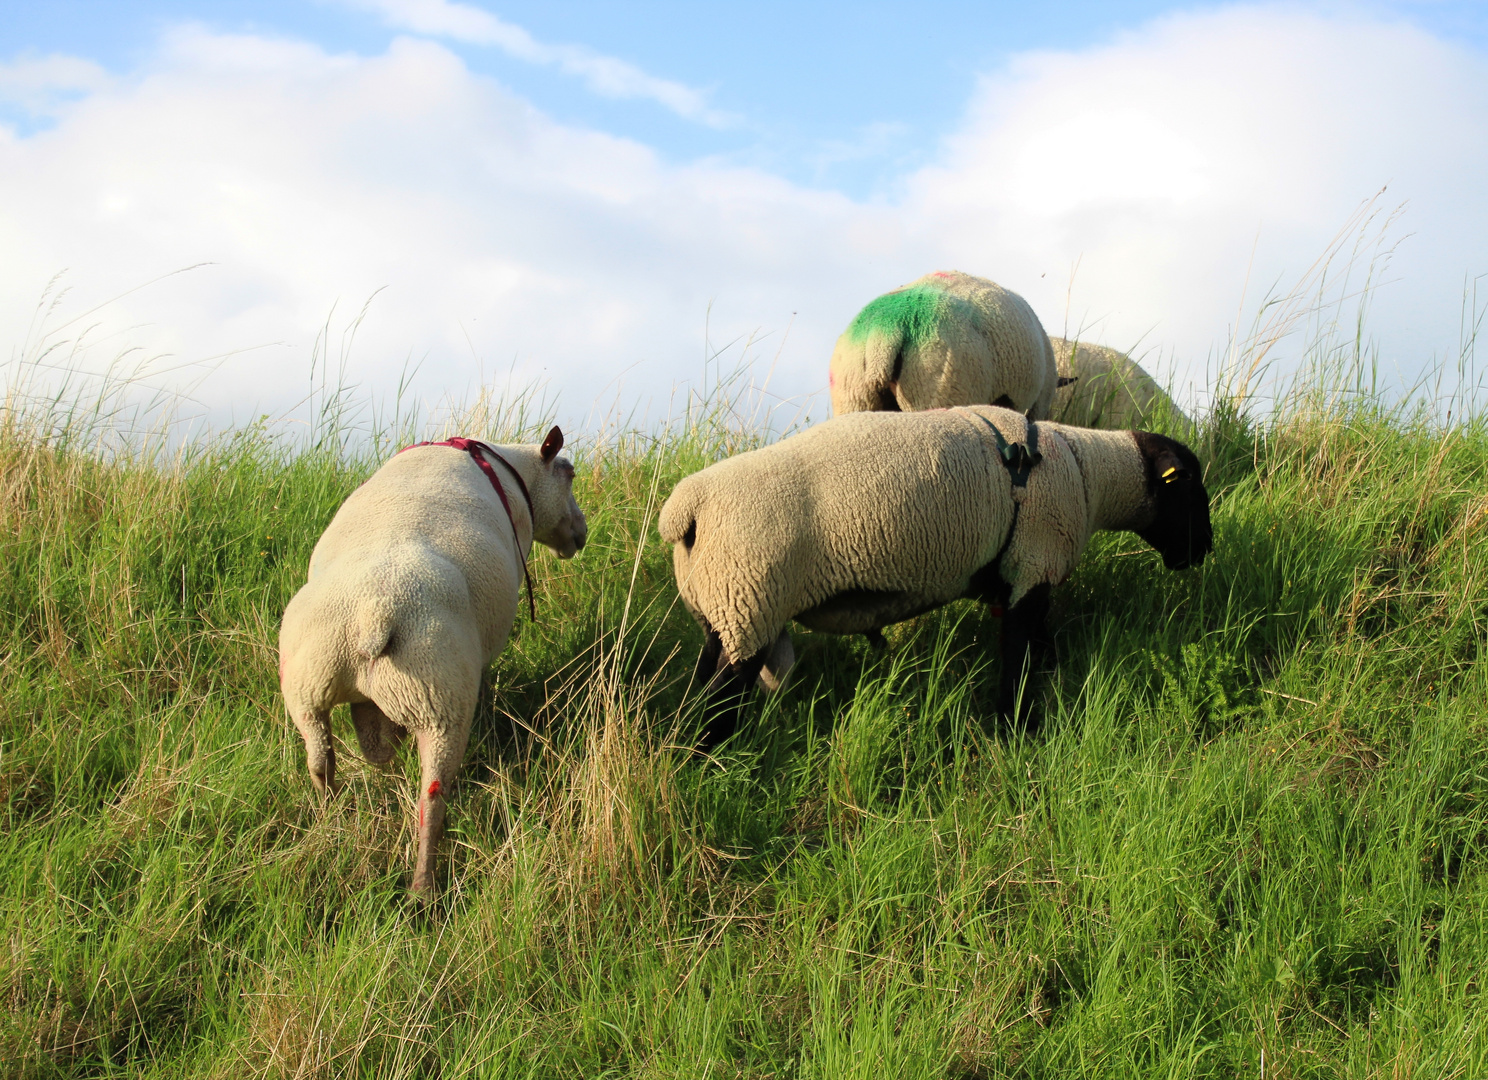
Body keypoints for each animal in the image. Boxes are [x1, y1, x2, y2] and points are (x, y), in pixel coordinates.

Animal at [278, 428, 586, 898]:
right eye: (568, 474)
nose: (581, 534)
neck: (513, 469)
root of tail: (372, 613)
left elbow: (375, 740)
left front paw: (384, 747)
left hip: (307, 690)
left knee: (319, 762)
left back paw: (334, 820)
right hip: (441, 699)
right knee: (432, 799)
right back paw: (424, 887)